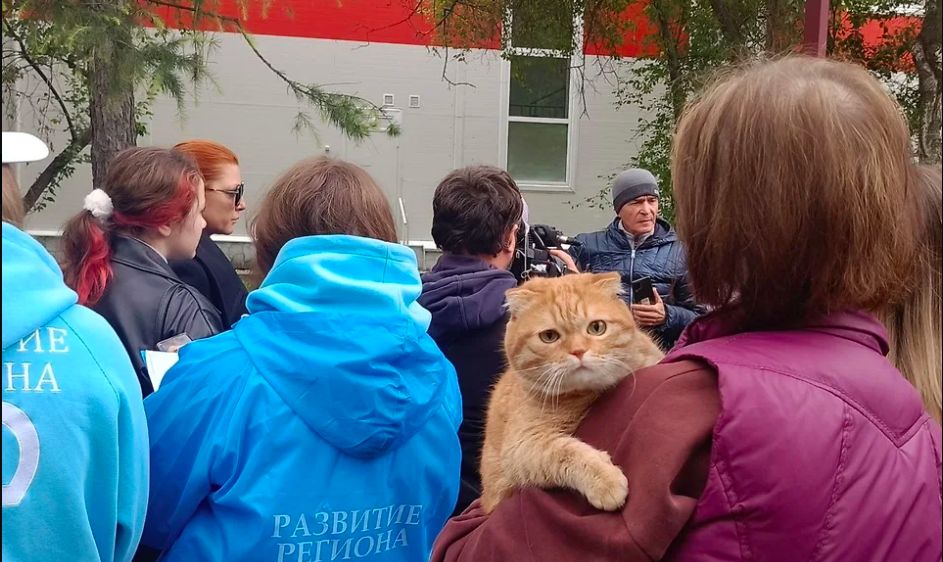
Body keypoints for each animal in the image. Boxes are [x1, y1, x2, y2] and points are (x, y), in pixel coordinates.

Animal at [480, 272, 664, 512]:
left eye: (597, 328)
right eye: (549, 336)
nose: (578, 351)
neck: (588, 393)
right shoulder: (522, 445)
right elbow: (564, 452)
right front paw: (605, 479)